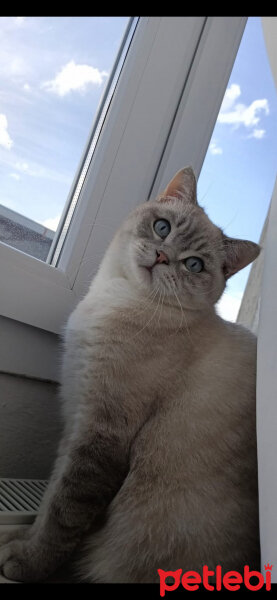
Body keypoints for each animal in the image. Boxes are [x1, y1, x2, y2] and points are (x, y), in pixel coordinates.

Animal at [0, 165, 260, 580]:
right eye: (162, 228)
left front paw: (25, 563)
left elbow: (62, 514)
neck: (117, 298)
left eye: (193, 265)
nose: (161, 255)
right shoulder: (76, 419)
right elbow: (48, 500)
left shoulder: (101, 435)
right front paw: (20, 542)